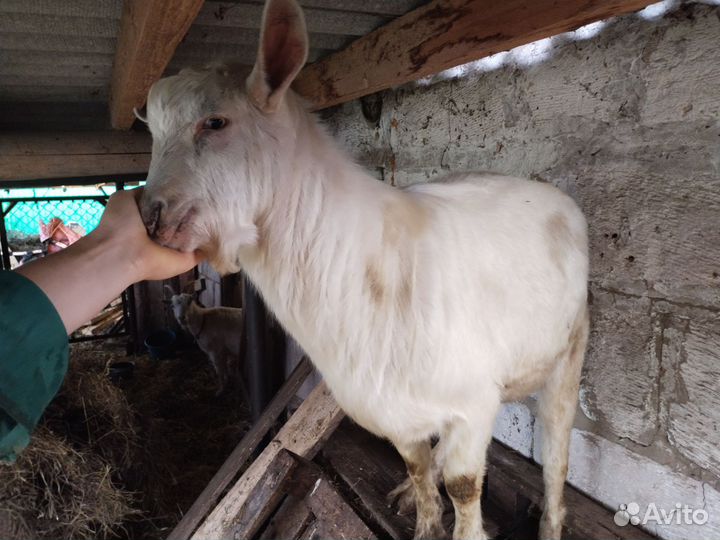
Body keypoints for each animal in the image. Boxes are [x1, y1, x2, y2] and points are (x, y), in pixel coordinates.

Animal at [140, 1, 589, 537]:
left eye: (215, 122)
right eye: (153, 135)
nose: (150, 217)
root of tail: (552, 192)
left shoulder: (472, 400)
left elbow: (464, 488)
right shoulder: (398, 409)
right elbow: (417, 469)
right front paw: (422, 518)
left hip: (570, 349)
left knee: (557, 450)